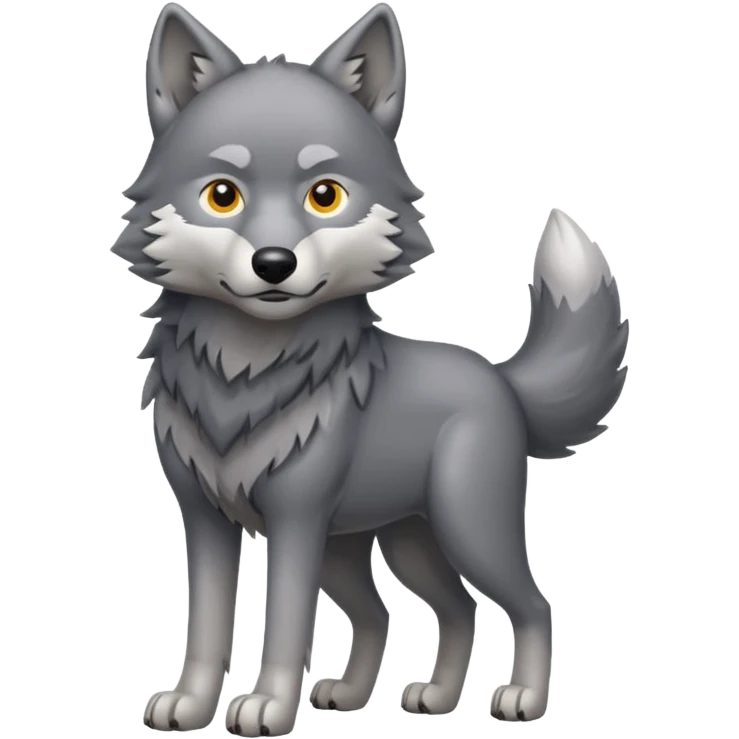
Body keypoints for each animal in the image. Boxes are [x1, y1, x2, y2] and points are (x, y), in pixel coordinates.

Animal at [113, 2, 629, 735]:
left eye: (325, 195)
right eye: (222, 195)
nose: (274, 264)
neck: (243, 375)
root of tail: (497, 376)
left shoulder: (296, 521)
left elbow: (286, 623)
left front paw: (269, 706)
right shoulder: (205, 519)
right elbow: (208, 624)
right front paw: (189, 703)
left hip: (462, 529)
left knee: (529, 603)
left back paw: (522, 700)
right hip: (380, 546)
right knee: (420, 610)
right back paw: (406, 697)